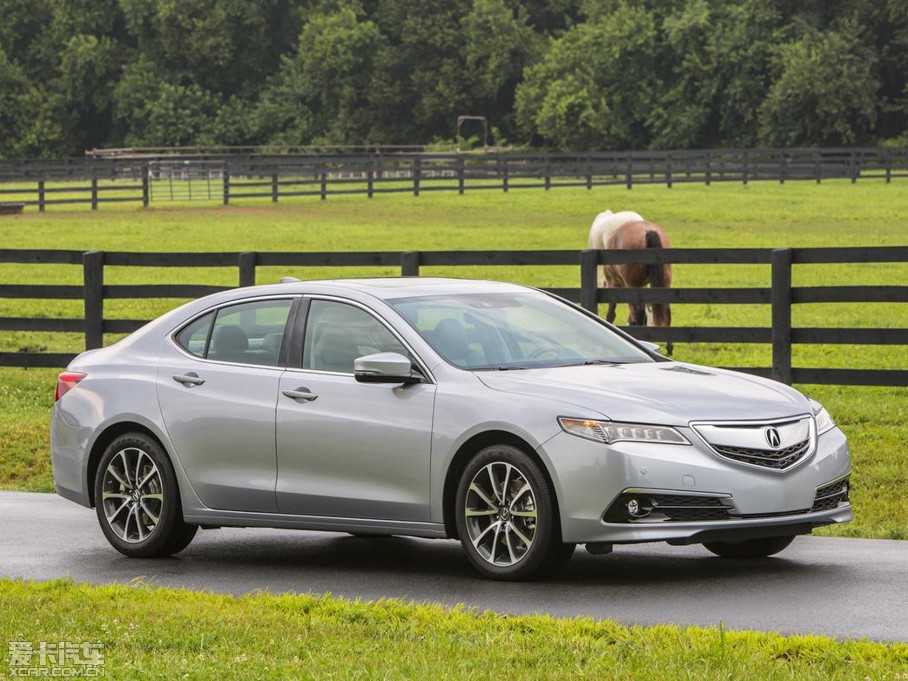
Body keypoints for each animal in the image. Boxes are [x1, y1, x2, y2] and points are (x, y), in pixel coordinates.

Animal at [608, 220, 672, 356]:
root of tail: (649, 231)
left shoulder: (614, 282)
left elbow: (612, 310)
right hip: (664, 284)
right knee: (666, 311)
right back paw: (669, 347)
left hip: (632, 285)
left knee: (638, 313)